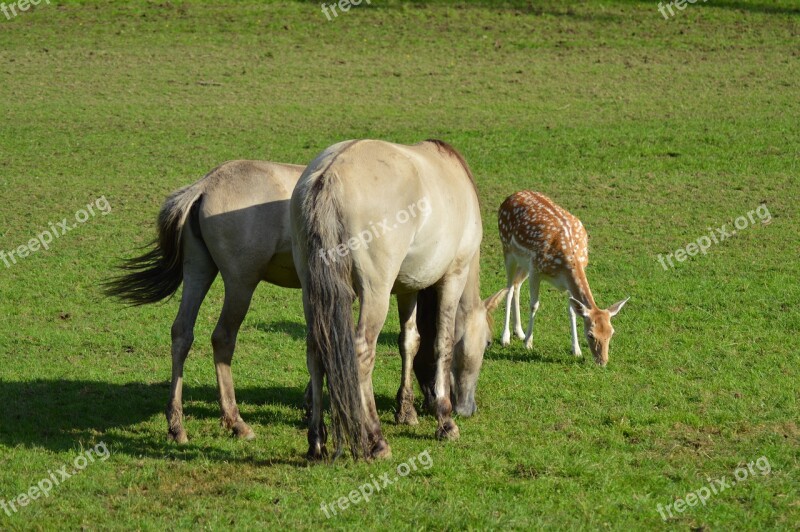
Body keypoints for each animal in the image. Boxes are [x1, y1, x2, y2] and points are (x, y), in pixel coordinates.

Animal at [292, 139, 506, 460]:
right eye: (488, 343)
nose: (468, 408)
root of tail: (328, 176)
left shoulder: (408, 287)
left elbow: (410, 342)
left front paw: (406, 411)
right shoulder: (454, 276)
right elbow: (442, 343)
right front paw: (445, 420)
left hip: (312, 290)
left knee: (317, 351)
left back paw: (317, 440)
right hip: (375, 293)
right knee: (362, 353)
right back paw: (376, 440)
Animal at [496, 191, 628, 366]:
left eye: (611, 332)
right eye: (590, 334)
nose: (602, 361)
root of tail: (512, 195)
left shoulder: (564, 280)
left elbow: (572, 310)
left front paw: (576, 350)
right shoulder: (536, 269)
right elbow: (534, 305)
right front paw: (528, 344)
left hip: (523, 262)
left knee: (516, 285)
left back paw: (519, 332)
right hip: (507, 249)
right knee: (509, 288)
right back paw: (506, 338)